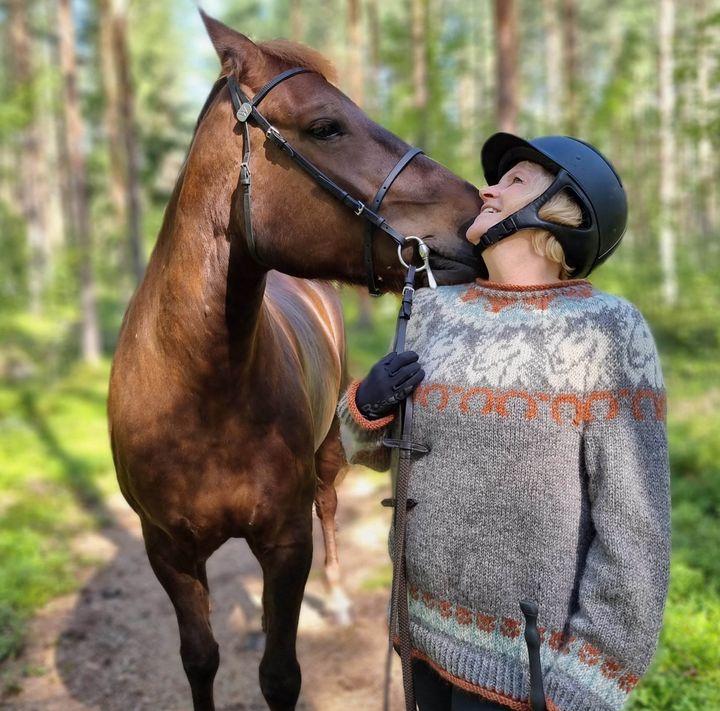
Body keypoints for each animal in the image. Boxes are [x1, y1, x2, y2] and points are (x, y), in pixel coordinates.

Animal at [107, 11, 480, 711]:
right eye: (326, 126)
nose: (475, 216)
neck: (201, 393)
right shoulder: (168, 553)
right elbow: (200, 659)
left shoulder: (285, 543)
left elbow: (280, 674)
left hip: (327, 454)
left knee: (330, 507)